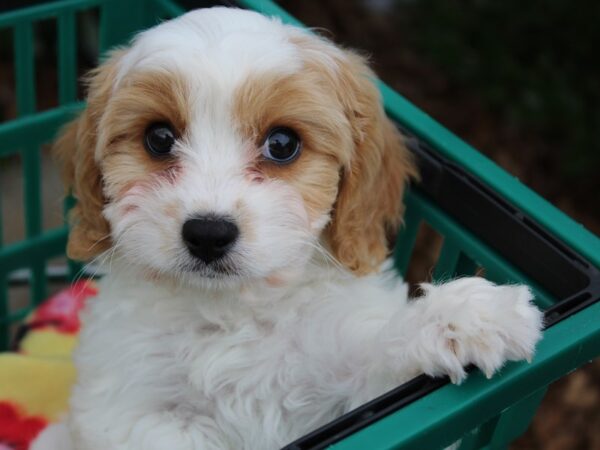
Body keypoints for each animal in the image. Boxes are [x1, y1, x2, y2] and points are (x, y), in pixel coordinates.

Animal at [35, 7, 548, 450]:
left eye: (282, 143)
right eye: (158, 138)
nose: (208, 234)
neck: (234, 312)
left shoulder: (357, 392)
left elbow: (383, 372)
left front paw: (464, 315)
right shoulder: (122, 407)